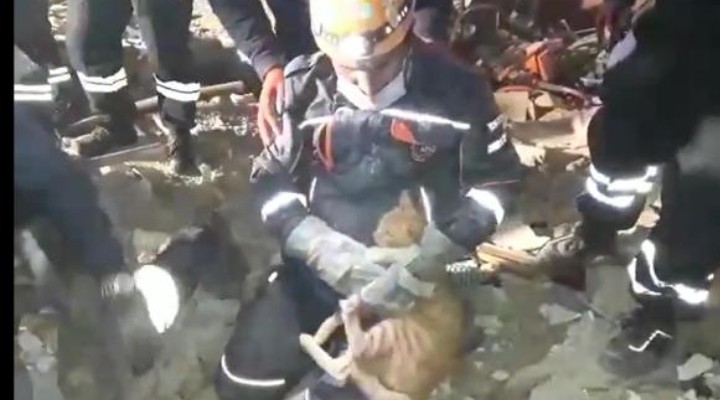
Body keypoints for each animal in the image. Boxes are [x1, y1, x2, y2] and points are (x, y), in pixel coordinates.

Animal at [299, 191, 466, 400]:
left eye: (389, 234)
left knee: (345, 365)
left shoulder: (417, 258)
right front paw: (324, 329)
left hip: (387, 332)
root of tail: (419, 393)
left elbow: (404, 252)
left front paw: (375, 253)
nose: (374, 234)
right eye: (381, 222)